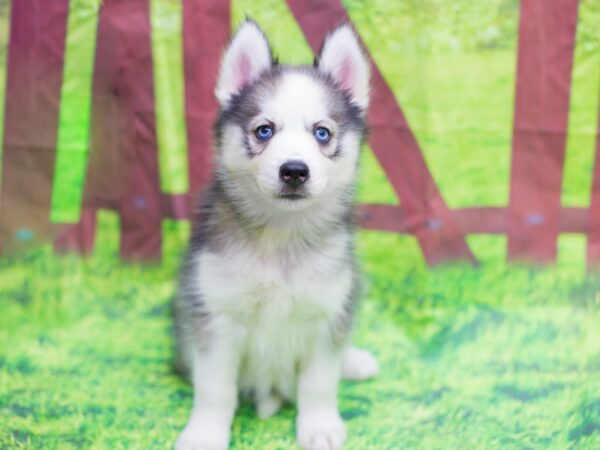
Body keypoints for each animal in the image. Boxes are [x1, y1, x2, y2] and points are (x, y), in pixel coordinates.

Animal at [173, 19, 378, 448]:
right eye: (264, 131)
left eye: (322, 133)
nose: (295, 170)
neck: (281, 236)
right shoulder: (215, 318)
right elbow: (215, 389)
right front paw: (205, 434)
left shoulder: (326, 315)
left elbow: (319, 383)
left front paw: (320, 427)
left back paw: (355, 361)